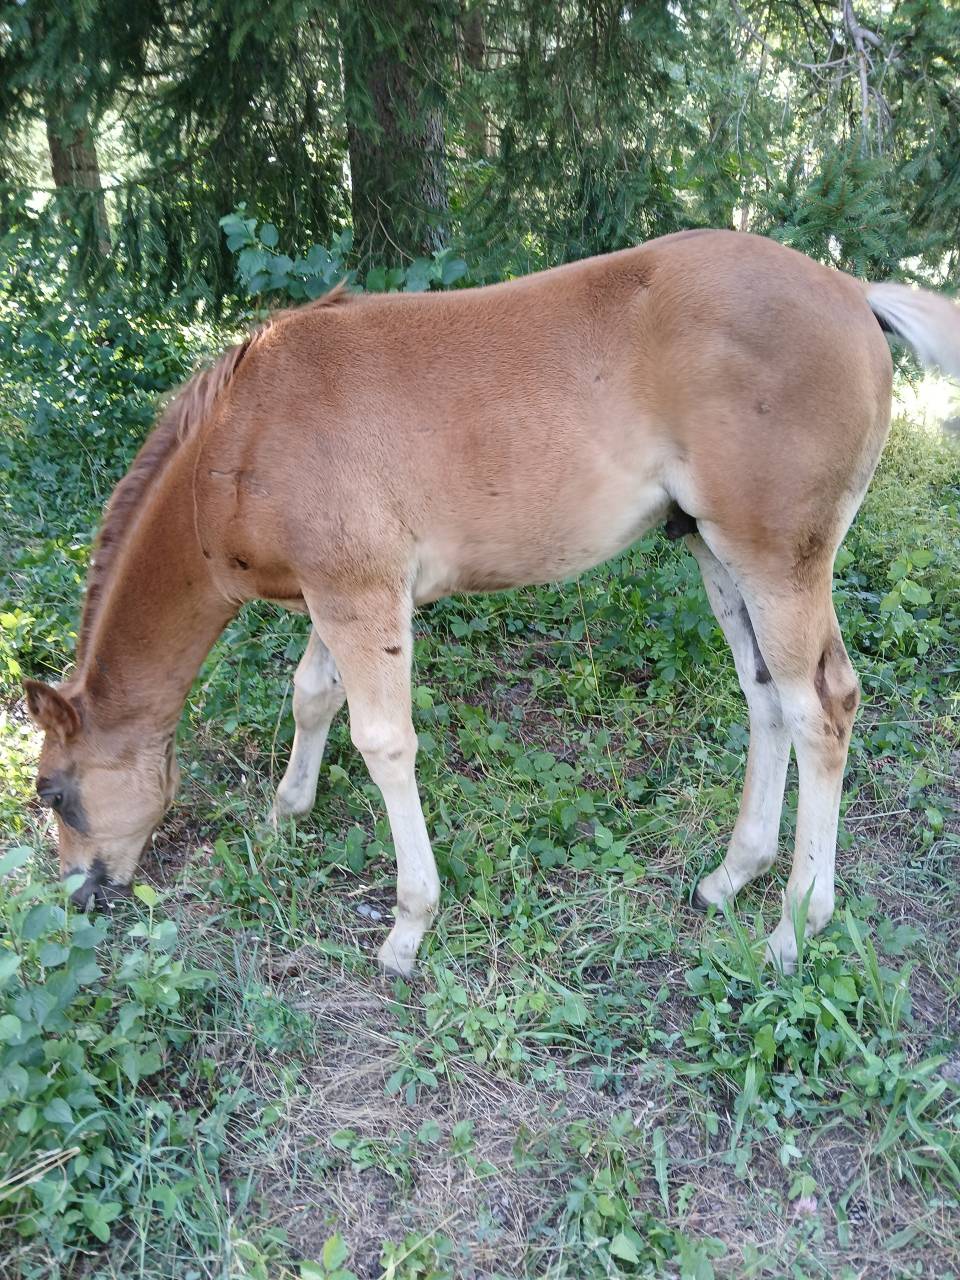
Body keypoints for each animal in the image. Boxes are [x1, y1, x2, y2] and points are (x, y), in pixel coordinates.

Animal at [25, 229, 960, 976]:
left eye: (53, 794)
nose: (77, 892)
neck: (245, 436)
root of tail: (852, 292)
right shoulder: (337, 592)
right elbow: (311, 694)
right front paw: (284, 817)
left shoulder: (360, 596)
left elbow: (383, 743)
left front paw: (409, 927)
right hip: (711, 549)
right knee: (766, 698)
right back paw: (730, 877)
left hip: (777, 561)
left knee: (822, 710)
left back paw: (795, 926)